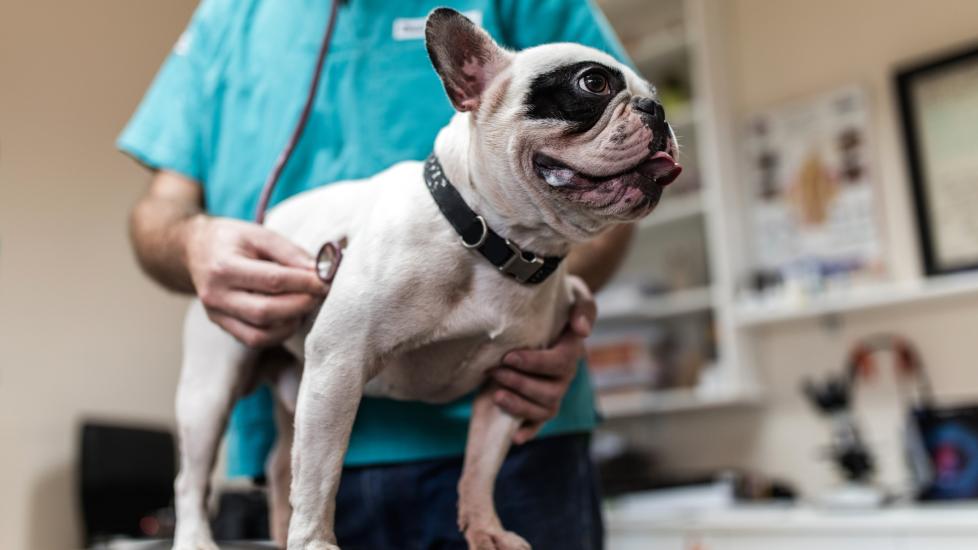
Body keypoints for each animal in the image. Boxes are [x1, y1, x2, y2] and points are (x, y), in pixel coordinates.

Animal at [172, 8, 680, 550]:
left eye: (652, 92)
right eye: (593, 83)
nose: (656, 108)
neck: (491, 239)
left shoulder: (507, 385)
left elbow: (479, 468)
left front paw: (485, 528)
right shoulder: (338, 365)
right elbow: (323, 475)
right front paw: (314, 544)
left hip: (293, 390)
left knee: (279, 464)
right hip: (211, 390)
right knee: (196, 478)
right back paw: (198, 538)